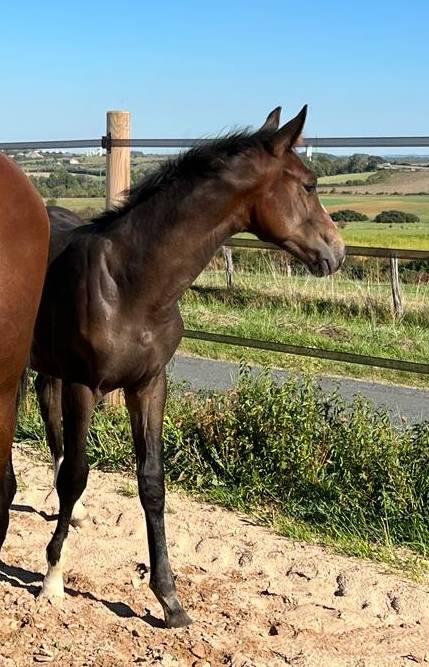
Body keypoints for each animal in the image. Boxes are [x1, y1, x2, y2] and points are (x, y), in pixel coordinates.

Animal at [30, 106, 345, 628]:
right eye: (309, 184)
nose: (336, 252)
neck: (130, 283)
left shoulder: (148, 385)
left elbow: (152, 484)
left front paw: (169, 600)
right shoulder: (84, 385)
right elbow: (77, 472)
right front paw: (53, 576)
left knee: (46, 411)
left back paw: (72, 514)